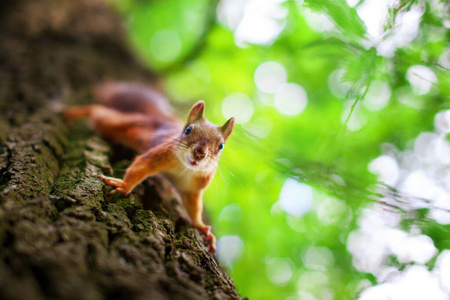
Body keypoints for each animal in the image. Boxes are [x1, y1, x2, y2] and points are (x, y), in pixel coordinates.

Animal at [65, 82, 237, 253]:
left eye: (221, 146)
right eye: (188, 130)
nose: (199, 153)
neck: (185, 168)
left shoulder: (192, 187)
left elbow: (194, 208)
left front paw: (201, 227)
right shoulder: (159, 155)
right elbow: (140, 166)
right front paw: (123, 186)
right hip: (118, 124)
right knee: (98, 112)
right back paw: (71, 113)